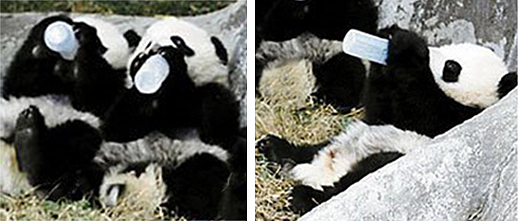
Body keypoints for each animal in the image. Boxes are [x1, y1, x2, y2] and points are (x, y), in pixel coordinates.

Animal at [2, 14, 139, 116]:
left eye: (101, 48)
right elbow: (18, 84)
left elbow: (92, 100)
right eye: (74, 24)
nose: (78, 32)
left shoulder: (109, 87)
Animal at [260, 25, 518, 214]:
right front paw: (388, 35)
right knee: (312, 150)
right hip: (338, 141)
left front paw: (406, 45)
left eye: (451, 67)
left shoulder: (451, 118)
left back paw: (306, 196)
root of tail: (322, 171)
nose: (430, 51)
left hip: (395, 157)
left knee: (357, 178)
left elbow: (418, 107)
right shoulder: (382, 116)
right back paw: (275, 149)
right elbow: (381, 109)